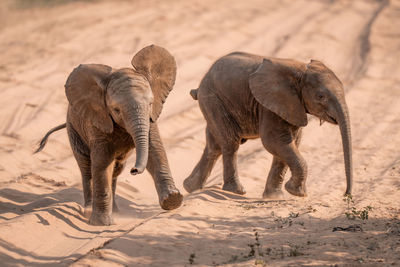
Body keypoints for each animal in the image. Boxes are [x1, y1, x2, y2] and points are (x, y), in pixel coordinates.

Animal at [36, 45, 183, 226]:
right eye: (116, 110)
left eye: (150, 103)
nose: (134, 170)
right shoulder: (97, 121)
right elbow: (102, 162)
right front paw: (101, 223)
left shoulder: (150, 118)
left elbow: (155, 150)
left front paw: (173, 201)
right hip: (74, 130)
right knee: (87, 168)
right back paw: (88, 210)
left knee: (115, 170)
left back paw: (116, 211)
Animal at [183, 51, 352, 199]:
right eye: (320, 96)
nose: (346, 195)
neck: (300, 70)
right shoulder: (271, 104)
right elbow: (275, 141)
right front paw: (296, 193)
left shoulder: (292, 105)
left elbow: (289, 144)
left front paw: (275, 197)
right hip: (212, 99)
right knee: (230, 142)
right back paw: (235, 191)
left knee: (214, 145)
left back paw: (191, 188)